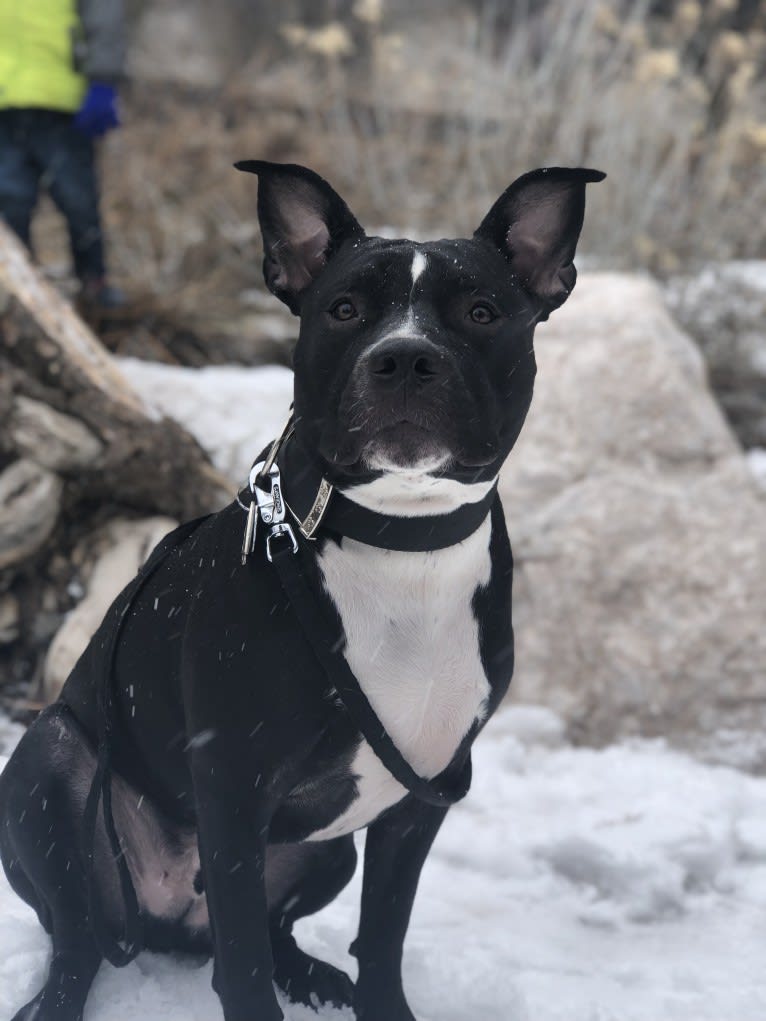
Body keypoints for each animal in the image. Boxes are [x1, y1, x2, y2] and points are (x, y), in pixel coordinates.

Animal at [0, 159, 604, 1021]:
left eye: (481, 312)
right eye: (344, 309)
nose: (404, 357)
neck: (399, 538)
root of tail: (159, 918)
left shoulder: (421, 797)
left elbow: (382, 932)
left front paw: (380, 1002)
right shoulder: (232, 788)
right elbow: (243, 966)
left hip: (328, 853)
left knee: (271, 930)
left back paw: (316, 977)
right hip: (50, 765)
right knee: (81, 938)